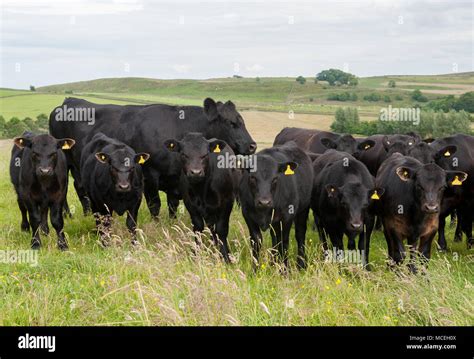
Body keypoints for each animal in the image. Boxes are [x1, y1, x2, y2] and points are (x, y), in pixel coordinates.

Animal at [49, 97, 256, 219]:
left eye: (242, 121)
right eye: (231, 123)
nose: (252, 145)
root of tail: (68, 101)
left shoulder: (175, 179)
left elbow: (173, 205)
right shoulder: (149, 175)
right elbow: (155, 205)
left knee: (79, 186)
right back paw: (68, 215)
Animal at [166, 132, 241, 262]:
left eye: (205, 155)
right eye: (184, 154)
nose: (195, 173)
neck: (201, 191)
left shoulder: (227, 202)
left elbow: (222, 229)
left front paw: (226, 256)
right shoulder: (190, 204)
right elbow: (198, 227)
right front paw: (196, 253)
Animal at [239, 142, 312, 272]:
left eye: (275, 178)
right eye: (252, 177)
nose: (264, 202)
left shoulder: (287, 217)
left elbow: (284, 242)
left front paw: (284, 270)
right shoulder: (247, 215)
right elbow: (256, 241)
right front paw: (255, 270)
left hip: (303, 210)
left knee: (300, 234)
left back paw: (301, 265)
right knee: (275, 238)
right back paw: (273, 263)